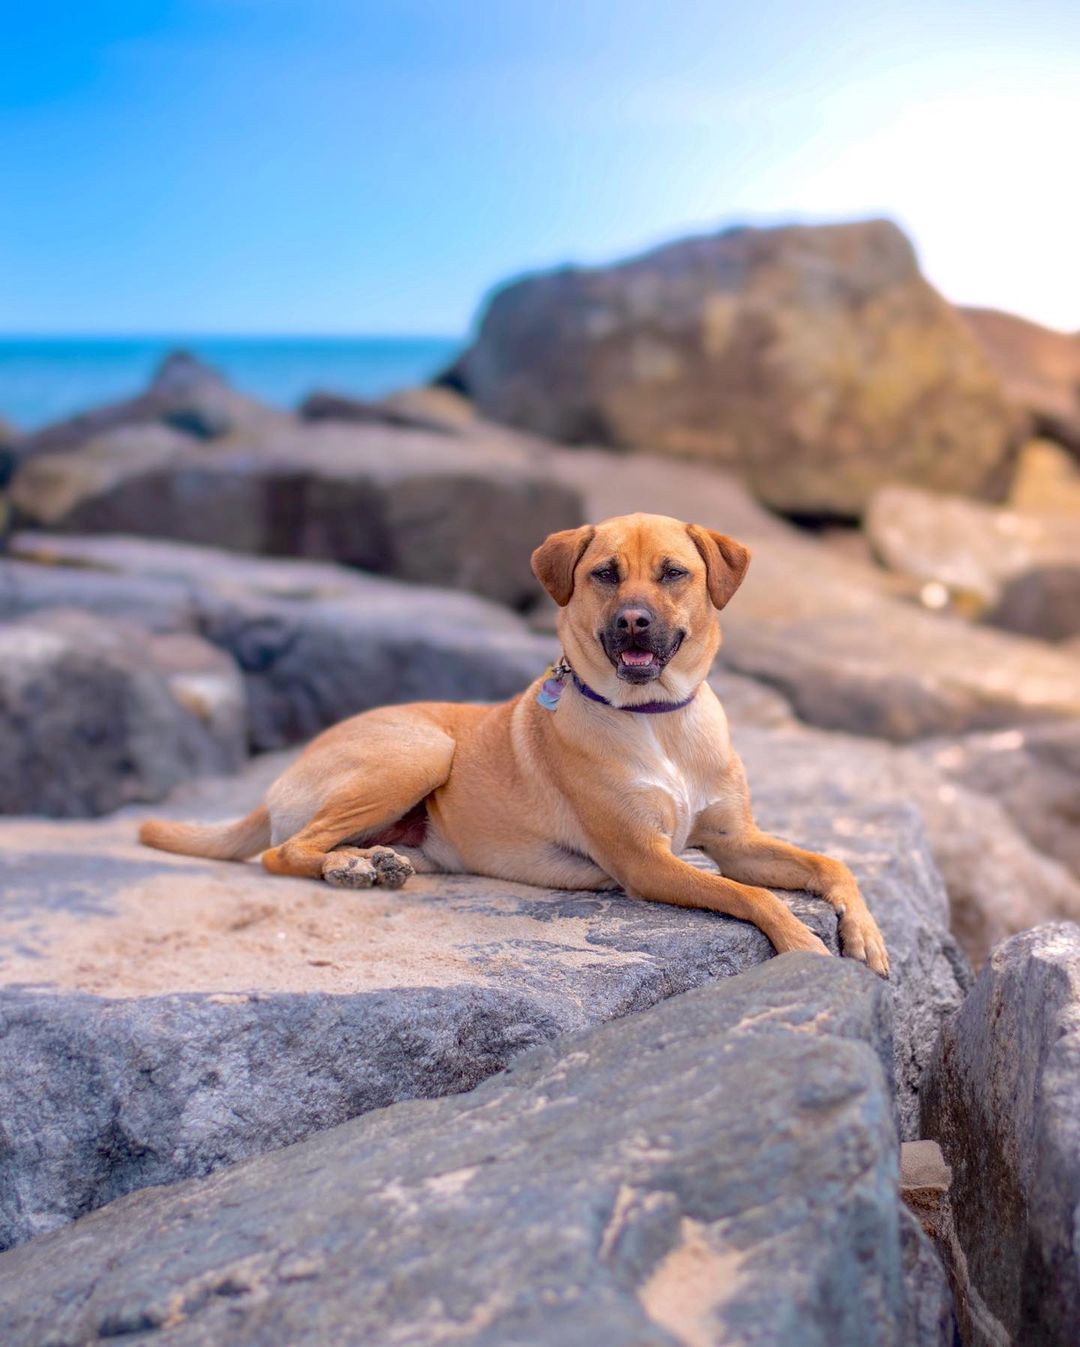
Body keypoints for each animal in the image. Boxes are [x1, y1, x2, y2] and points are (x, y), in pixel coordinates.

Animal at [138, 509, 888, 975]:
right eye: (604, 573)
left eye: (674, 572)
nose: (633, 621)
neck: (658, 720)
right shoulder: (645, 861)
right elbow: (753, 897)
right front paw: (804, 944)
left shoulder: (735, 840)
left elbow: (831, 863)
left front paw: (866, 935)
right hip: (421, 749)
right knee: (281, 850)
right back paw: (347, 867)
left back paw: (367, 860)